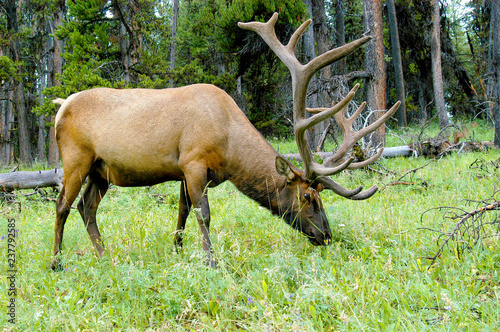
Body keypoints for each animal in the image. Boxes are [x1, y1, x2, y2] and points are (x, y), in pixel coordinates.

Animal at [50, 13, 400, 270]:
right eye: (308, 197)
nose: (326, 235)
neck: (230, 149)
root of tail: (60, 107)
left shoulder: (185, 170)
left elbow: (182, 212)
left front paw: (177, 252)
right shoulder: (193, 162)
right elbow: (202, 214)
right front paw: (211, 262)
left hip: (101, 170)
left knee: (86, 207)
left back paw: (104, 257)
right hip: (76, 159)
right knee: (62, 205)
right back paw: (56, 263)